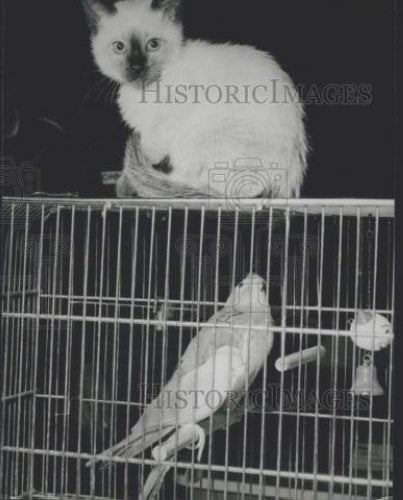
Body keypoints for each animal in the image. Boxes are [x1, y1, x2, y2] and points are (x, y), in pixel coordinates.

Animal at [83, 0, 310, 199]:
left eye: (153, 44)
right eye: (119, 47)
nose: (137, 67)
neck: (142, 91)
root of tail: (281, 186)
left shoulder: (165, 125)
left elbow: (151, 152)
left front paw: (133, 174)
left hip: (201, 141)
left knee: (203, 185)